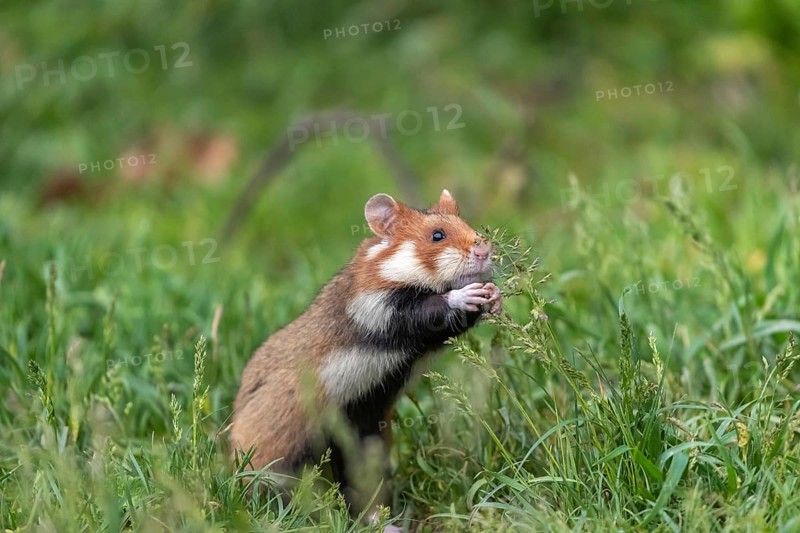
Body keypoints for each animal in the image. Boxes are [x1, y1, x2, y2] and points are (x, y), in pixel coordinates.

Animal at [230, 189, 502, 524]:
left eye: (466, 223)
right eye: (437, 235)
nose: (486, 248)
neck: (391, 267)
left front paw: (494, 295)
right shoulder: (381, 310)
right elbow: (434, 306)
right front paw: (469, 293)